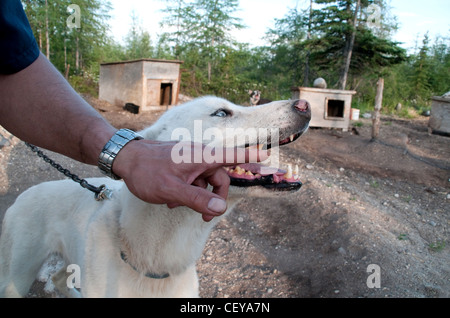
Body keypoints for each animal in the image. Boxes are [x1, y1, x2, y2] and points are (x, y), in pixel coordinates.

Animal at [0, 95, 310, 296]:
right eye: (222, 113)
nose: (305, 105)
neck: (156, 264)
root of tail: (24, 194)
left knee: (59, 278)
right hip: (16, 277)